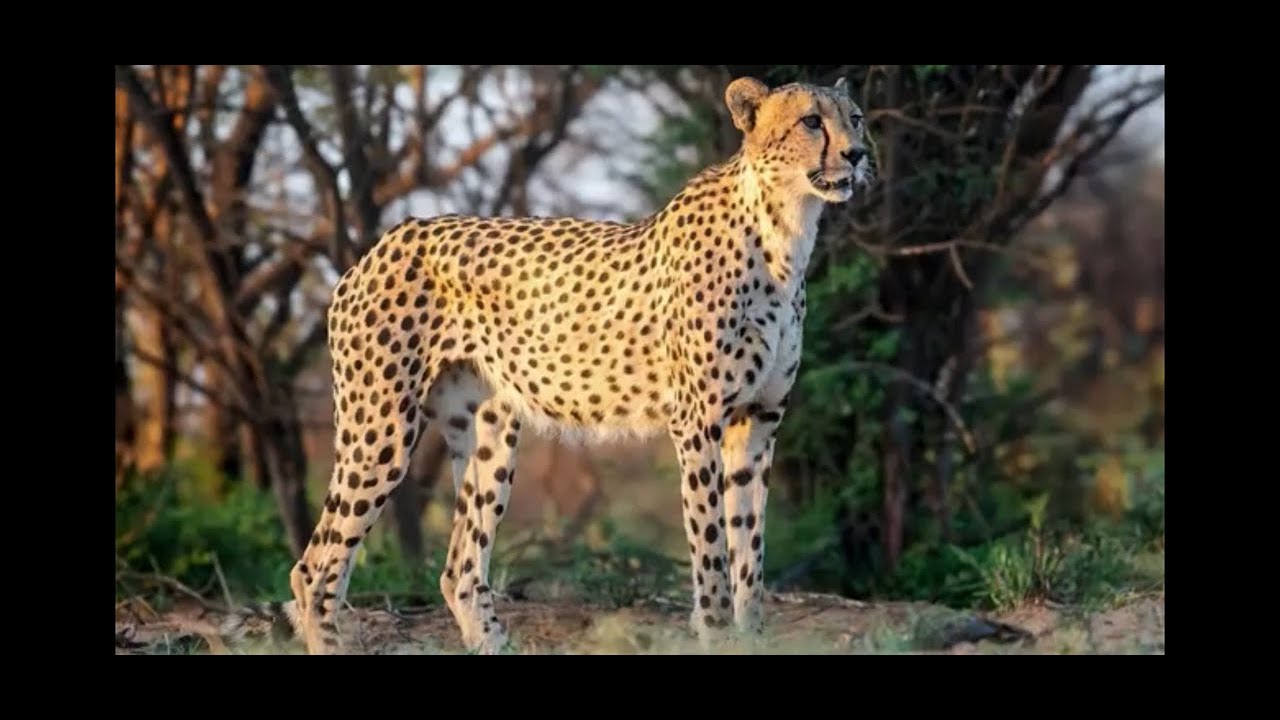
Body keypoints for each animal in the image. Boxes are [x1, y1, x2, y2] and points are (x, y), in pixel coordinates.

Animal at [221, 74, 873, 655]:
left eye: (856, 117)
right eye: (811, 121)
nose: (859, 154)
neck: (785, 230)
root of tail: (384, 241)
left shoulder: (757, 423)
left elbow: (750, 556)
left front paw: (752, 637)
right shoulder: (698, 423)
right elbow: (713, 552)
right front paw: (717, 636)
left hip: (489, 436)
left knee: (459, 570)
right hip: (379, 429)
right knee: (315, 569)